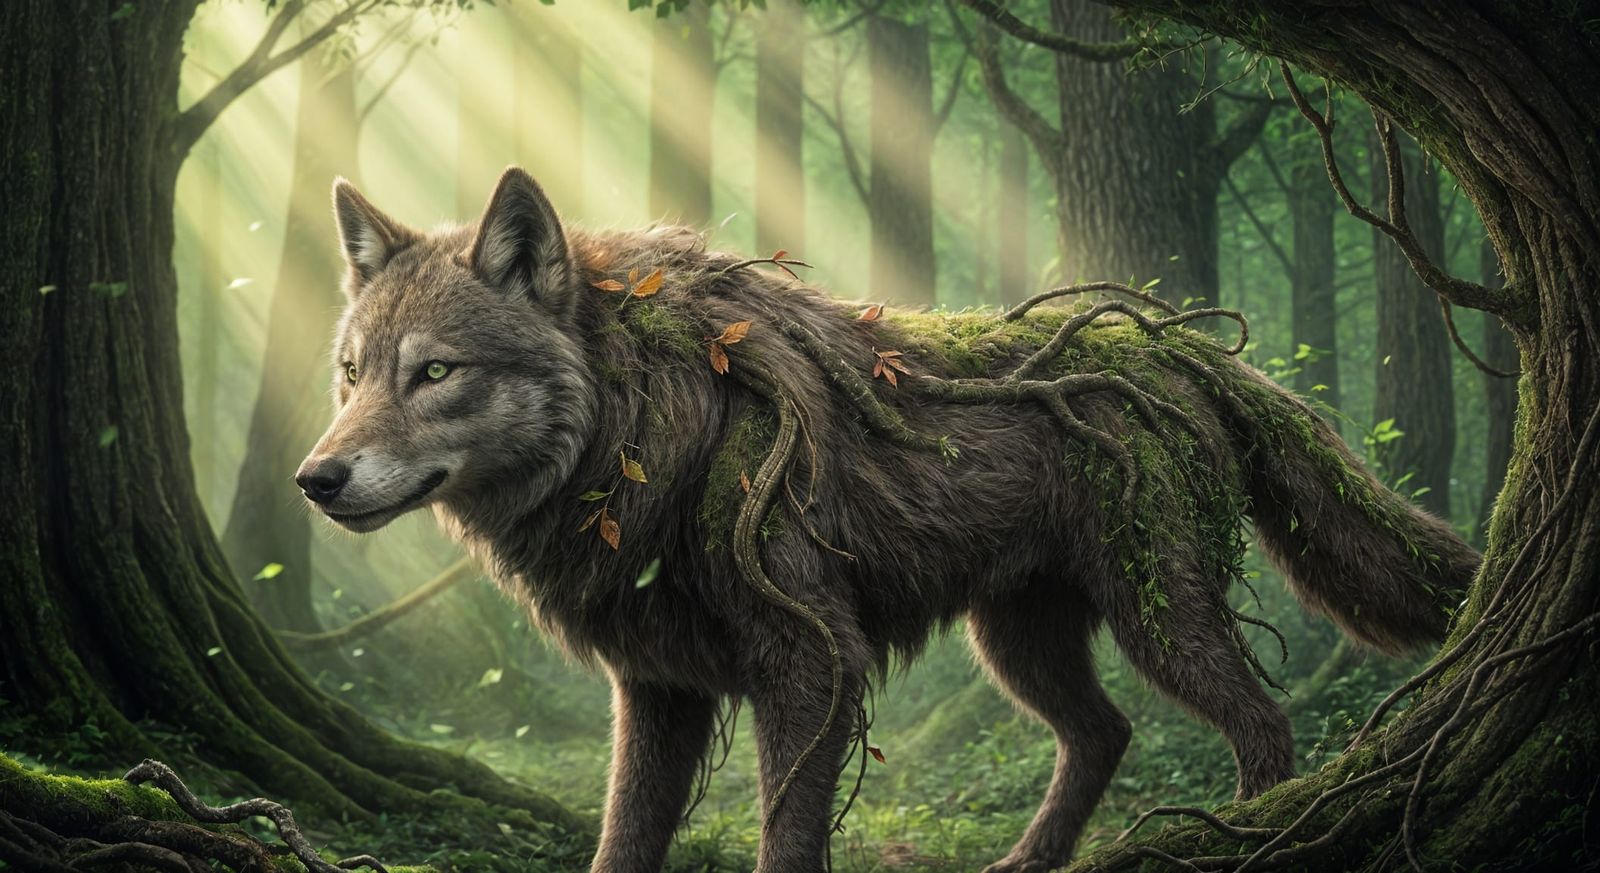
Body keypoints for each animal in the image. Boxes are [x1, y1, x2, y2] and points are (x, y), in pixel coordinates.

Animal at [297, 167, 1478, 873]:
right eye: (351, 374)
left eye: (435, 373)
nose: (316, 478)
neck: (654, 431)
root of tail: (1176, 348)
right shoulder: (658, 691)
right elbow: (622, 842)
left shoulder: (811, 665)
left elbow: (787, 838)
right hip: (1019, 644)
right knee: (1106, 733)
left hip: (1159, 623)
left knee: (1261, 726)